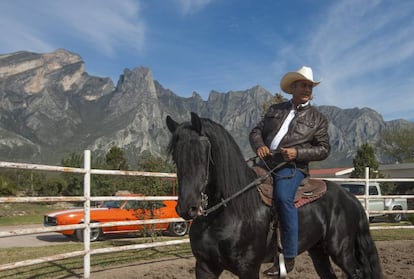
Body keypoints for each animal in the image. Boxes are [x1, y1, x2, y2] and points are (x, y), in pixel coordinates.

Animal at [165, 112, 382, 278]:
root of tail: (350, 198)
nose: (187, 207)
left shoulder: (248, 269)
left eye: (201, 155)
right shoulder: (205, 267)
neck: (227, 213)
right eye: (175, 156)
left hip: (341, 251)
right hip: (318, 251)